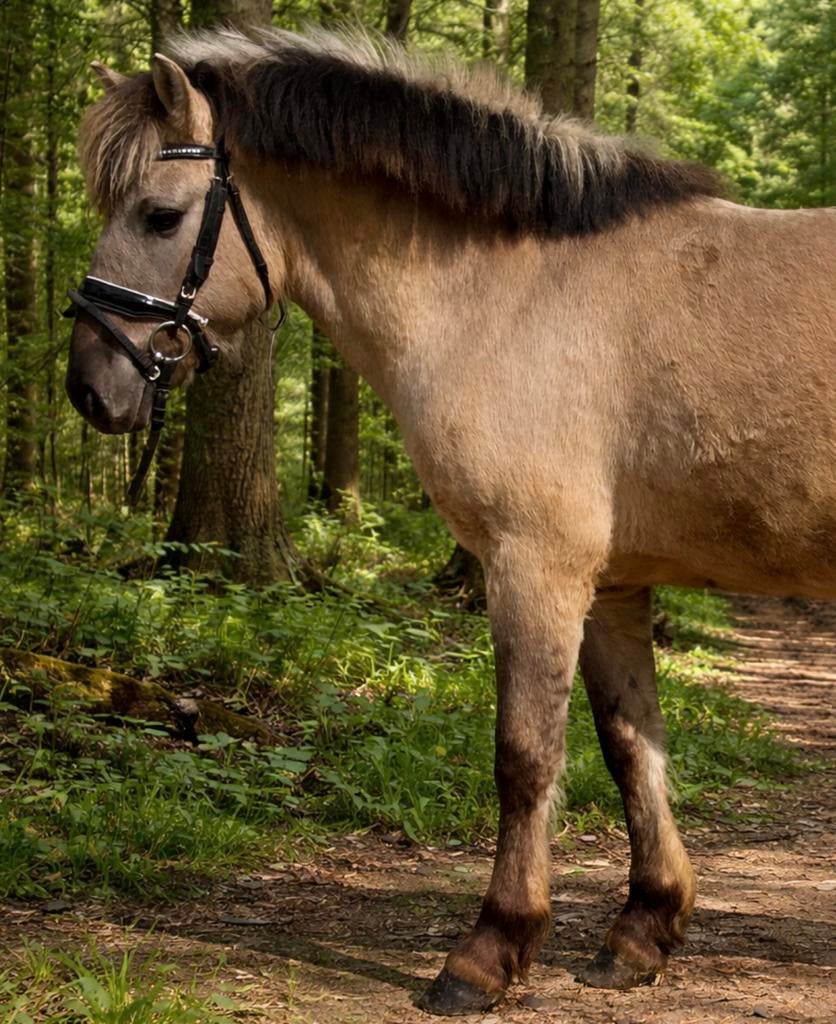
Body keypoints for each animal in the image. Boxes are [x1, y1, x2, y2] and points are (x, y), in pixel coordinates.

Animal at [64, 27, 836, 1016]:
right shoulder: (612, 585)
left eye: (161, 217)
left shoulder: (535, 568)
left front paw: (490, 950)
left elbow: (524, 759)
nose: (91, 384)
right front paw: (643, 930)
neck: (513, 294)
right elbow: (633, 749)